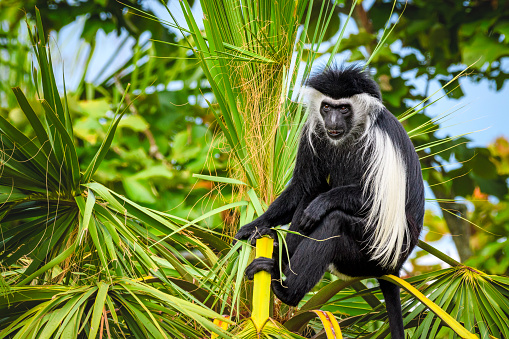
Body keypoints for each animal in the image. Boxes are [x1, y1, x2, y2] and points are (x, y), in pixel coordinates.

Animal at [234, 65, 424, 338]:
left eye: (343, 108)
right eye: (327, 107)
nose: (332, 121)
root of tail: (393, 267)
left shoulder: (377, 143)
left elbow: (372, 199)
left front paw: (322, 204)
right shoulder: (313, 131)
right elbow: (302, 187)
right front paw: (255, 226)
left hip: (366, 254)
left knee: (334, 221)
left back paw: (285, 290)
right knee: (311, 194)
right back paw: (277, 258)